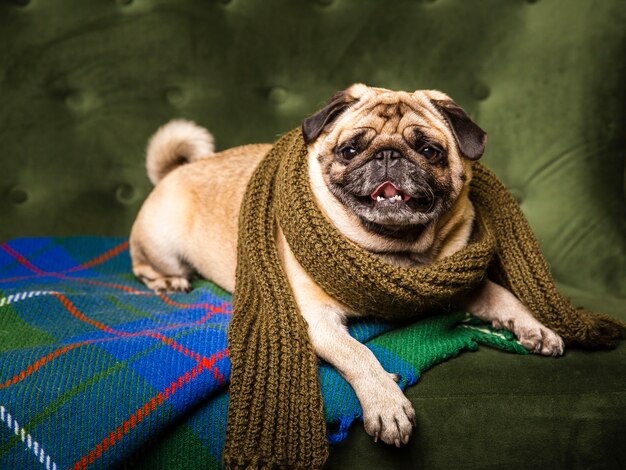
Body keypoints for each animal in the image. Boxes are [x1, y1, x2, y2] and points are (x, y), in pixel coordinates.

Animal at [129, 84, 564, 448]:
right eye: (351, 150)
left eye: (429, 151)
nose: (388, 155)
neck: (398, 254)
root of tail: (175, 171)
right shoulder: (316, 319)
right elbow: (359, 354)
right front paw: (386, 401)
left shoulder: (463, 285)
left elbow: (504, 297)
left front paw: (535, 327)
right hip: (161, 241)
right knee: (141, 264)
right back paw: (169, 281)